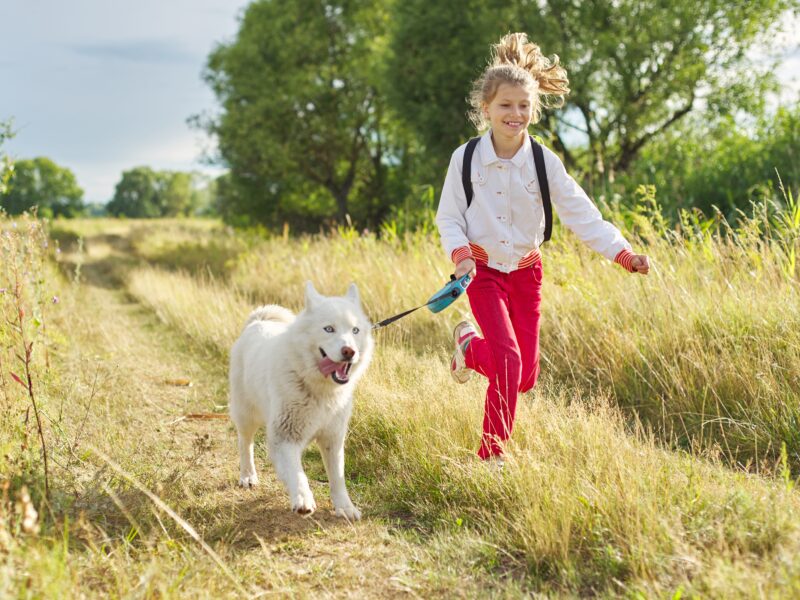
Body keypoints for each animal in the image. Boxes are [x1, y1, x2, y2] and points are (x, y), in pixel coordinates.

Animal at [228, 282, 372, 520]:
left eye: (355, 330)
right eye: (329, 329)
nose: (349, 351)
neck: (319, 390)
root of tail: (258, 321)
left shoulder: (333, 439)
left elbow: (337, 478)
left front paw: (345, 507)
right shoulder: (285, 438)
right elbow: (298, 474)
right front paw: (303, 500)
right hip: (246, 414)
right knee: (245, 443)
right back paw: (248, 476)